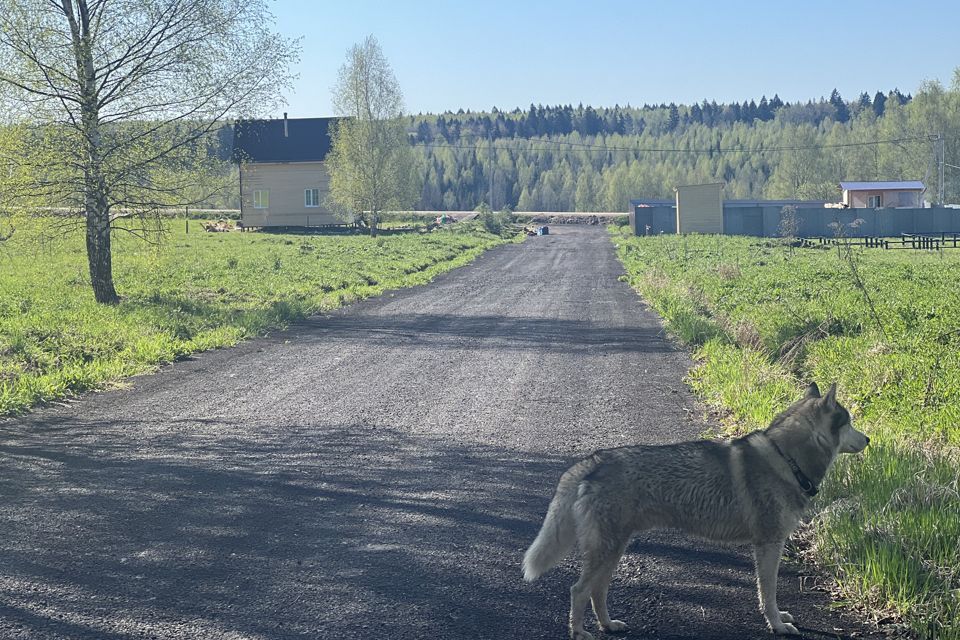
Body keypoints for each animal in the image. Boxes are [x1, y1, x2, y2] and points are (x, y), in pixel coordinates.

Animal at [524, 382, 872, 636]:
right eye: (851, 422)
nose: (869, 439)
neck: (787, 459)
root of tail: (594, 460)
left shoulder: (768, 545)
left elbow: (768, 594)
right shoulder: (769, 545)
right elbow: (768, 594)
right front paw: (777, 625)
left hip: (614, 551)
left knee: (597, 592)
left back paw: (608, 625)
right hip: (605, 550)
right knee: (578, 590)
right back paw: (580, 632)